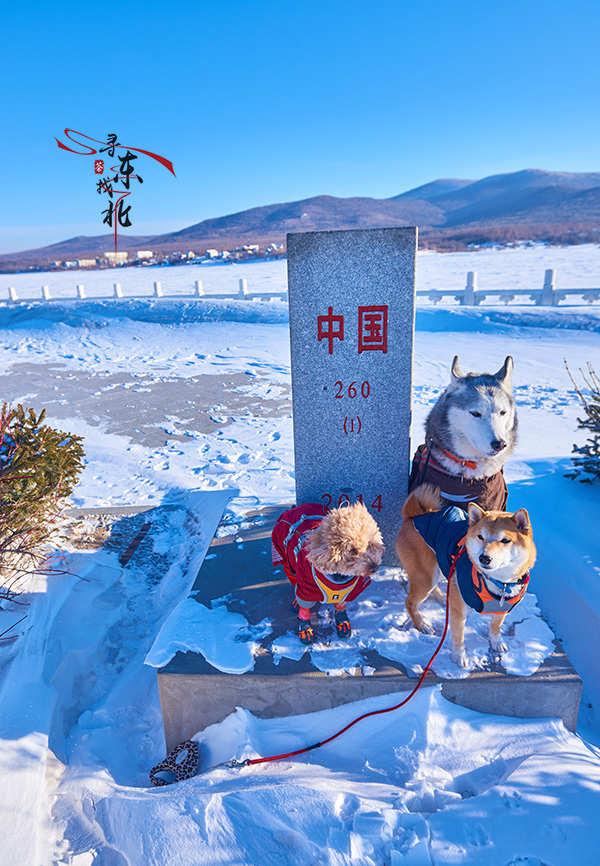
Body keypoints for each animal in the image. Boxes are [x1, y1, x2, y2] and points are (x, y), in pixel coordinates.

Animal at [396, 482, 536, 664]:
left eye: (505, 540)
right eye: (480, 537)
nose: (484, 558)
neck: (500, 582)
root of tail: (415, 517)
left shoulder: (502, 608)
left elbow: (495, 626)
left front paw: (497, 642)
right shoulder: (459, 612)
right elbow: (459, 636)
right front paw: (459, 656)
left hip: (438, 568)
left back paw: (444, 597)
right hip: (426, 577)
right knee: (411, 602)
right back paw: (422, 625)